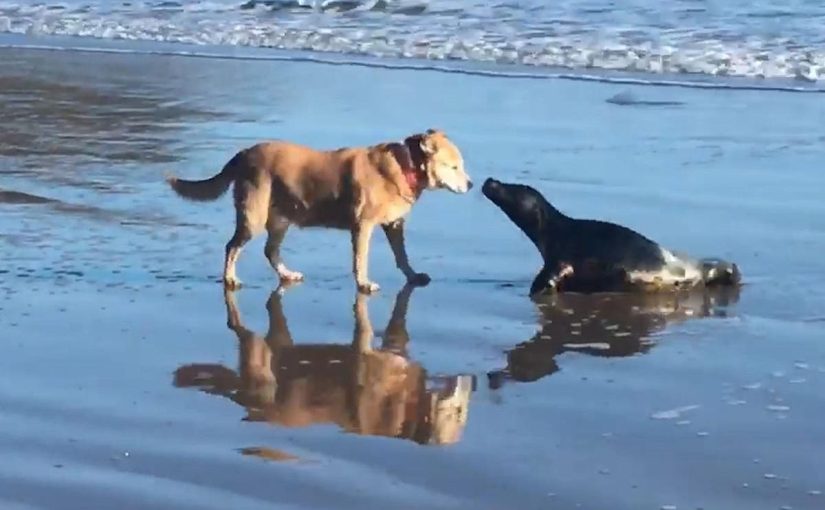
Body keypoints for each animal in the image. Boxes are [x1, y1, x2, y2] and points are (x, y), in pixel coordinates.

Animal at [166, 129, 470, 292]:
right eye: (454, 166)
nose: (470, 184)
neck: (406, 166)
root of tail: (244, 154)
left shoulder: (394, 225)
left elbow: (402, 255)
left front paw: (412, 275)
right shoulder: (363, 226)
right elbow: (361, 259)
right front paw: (363, 283)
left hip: (281, 217)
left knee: (270, 250)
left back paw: (286, 274)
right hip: (254, 216)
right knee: (232, 246)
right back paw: (230, 278)